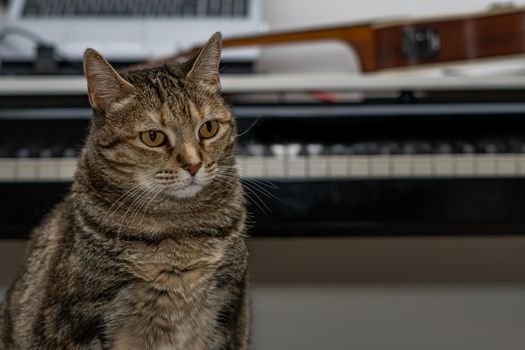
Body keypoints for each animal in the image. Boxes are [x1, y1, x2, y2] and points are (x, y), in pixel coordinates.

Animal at [0, 31, 249, 348]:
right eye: (153, 137)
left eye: (208, 129)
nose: (193, 164)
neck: (178, 231)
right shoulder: (81, 321)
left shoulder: (227, 309)